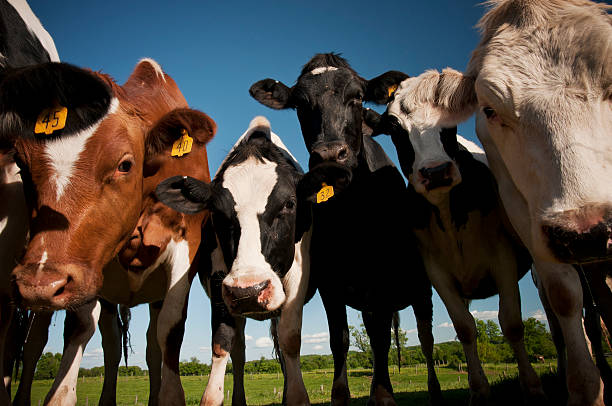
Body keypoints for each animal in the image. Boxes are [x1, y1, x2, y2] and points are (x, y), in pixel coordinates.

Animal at [0, 58, 215, 404]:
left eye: (124, 164)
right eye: (21, 164)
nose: (39, 283)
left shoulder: (187, 243)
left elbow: (169, 330)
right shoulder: (87, 270)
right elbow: (79, 329)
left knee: (149, 346)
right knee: (46, 344)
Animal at [251, 54, 442, 406]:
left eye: (357, 97)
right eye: (300, 104)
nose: (329, 154)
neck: (354, 216)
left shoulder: (383, 282)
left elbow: (381, 339)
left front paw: (383, 395)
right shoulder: (331, 285)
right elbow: (339, 339)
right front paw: (341, 395)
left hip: (423, 289)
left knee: (425, 337)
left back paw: (433, 391)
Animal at [364, 68, 548, 404]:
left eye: (450, 119)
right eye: (395, 126)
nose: (435, 171)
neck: (449, 214)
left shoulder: (502, 256)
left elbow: (512, 323)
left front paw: (532, 387)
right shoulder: (437, 272)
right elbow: (464, 327)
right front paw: (479, 390)